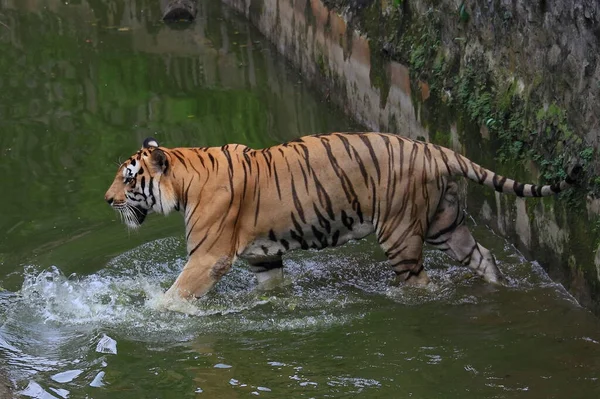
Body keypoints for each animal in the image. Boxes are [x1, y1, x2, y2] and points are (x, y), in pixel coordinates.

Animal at [104, 133, 580, 302]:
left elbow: (176, 295)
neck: (186, 179)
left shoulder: (208, 257)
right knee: (484, 257)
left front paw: (154, 313)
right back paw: (499, 287)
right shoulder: (263, 256)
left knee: (420, 280)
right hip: (445, 224)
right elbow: (271, 284)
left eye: (128, 178)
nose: (107, 200)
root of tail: (435, 148)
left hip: (401, 234)